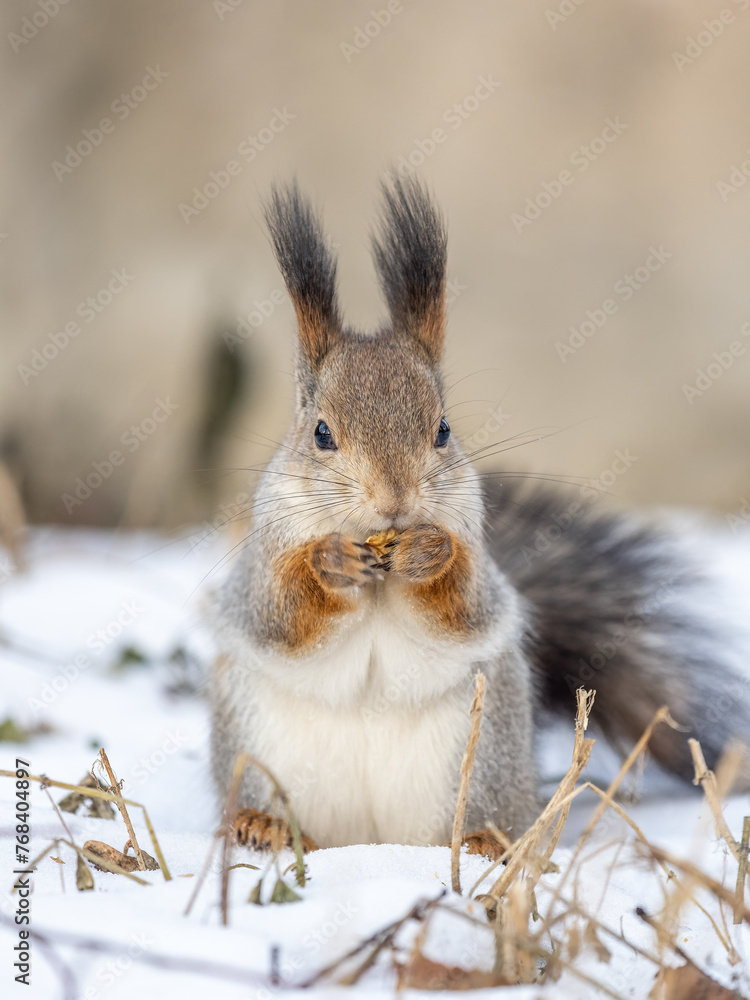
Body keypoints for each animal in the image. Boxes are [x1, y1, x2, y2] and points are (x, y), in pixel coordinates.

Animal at [210, 177, 750, 858]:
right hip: (255, 744)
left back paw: (485, 842)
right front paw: (329, 561)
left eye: (443, 429)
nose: (395, 501)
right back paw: (262, 823)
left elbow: (467, 604)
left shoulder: (476, 546)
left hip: (486, 747)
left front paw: (429, 553)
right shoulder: (263, 559)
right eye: (321, 433)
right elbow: (281, 611)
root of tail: (368, 842)